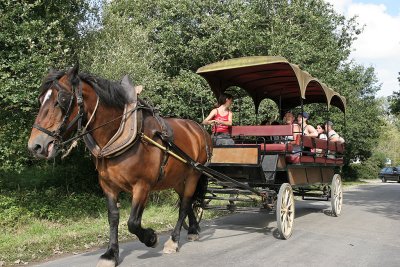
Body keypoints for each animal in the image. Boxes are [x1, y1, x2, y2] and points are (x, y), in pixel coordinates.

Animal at [27, 65, 212, 267]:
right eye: (41, 99)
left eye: (61, 100)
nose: (35, 146)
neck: (119, 133)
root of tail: (198, 129)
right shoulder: (108, 185)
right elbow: (113, 217)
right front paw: (110, 254)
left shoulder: (142, 186)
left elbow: (133, 222)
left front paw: (151, 237)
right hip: (178, 178)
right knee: (188, 202)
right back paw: (193, 229)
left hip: (194, 174)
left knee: (185, 203)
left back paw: (173, 240)